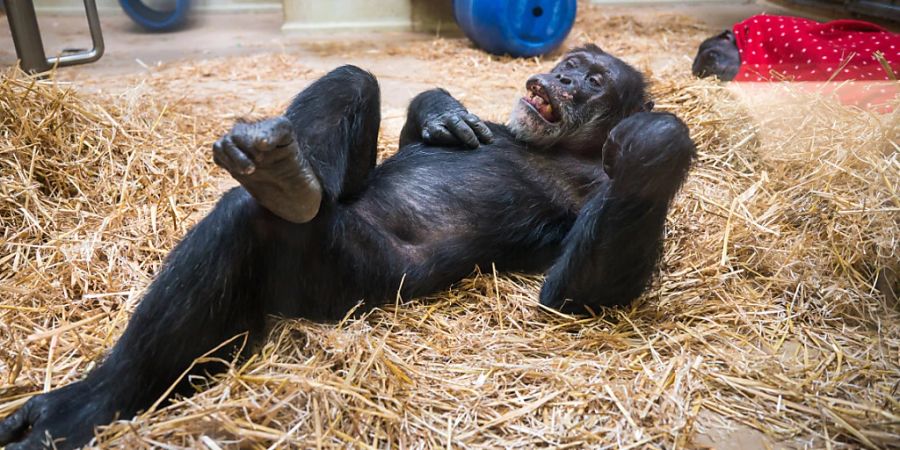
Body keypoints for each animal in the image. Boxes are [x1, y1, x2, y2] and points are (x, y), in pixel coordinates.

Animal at [0, 44, 696, 448]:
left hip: (340, 278)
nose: (564, 77)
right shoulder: (495, 126)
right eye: (572, 63)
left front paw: (656, 144)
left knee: (253, 223)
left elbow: (573, 296)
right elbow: (427, 136)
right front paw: (441, 110)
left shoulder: (591, 200)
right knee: (353, 87)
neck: (562, 146)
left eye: (595, 79)